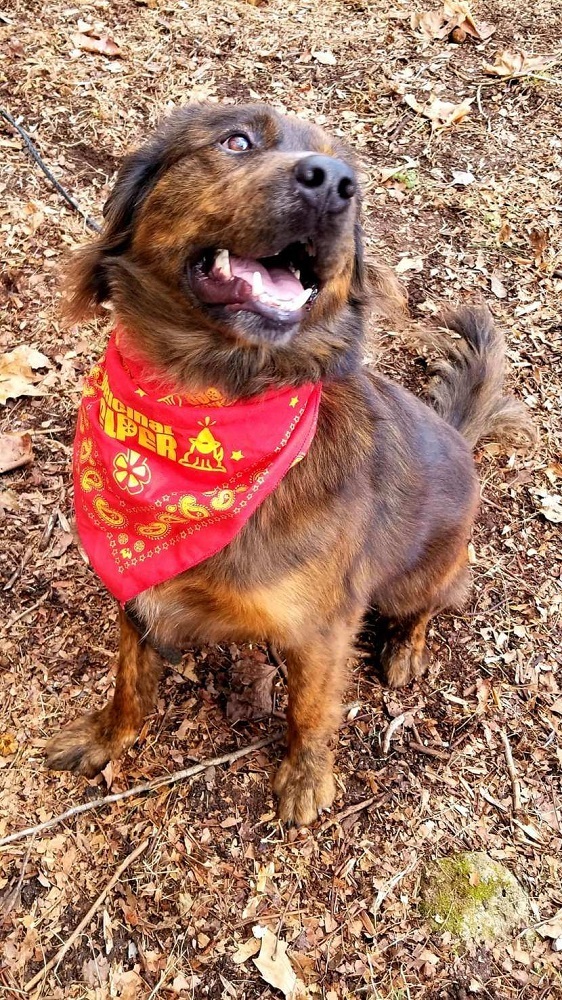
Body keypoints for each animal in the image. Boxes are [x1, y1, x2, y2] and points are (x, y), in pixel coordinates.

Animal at [46, 101, 532, 824]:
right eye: (236, 140)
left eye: (355, 181)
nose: (333, 184)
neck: (210, 396)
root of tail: (453, 429)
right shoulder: (139, 598)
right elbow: (130, 684)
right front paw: (104, 738)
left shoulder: (324, 628)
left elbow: (310, 709)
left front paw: (305, 780)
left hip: (421, 573)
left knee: (438, 598)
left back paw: (406, 648)